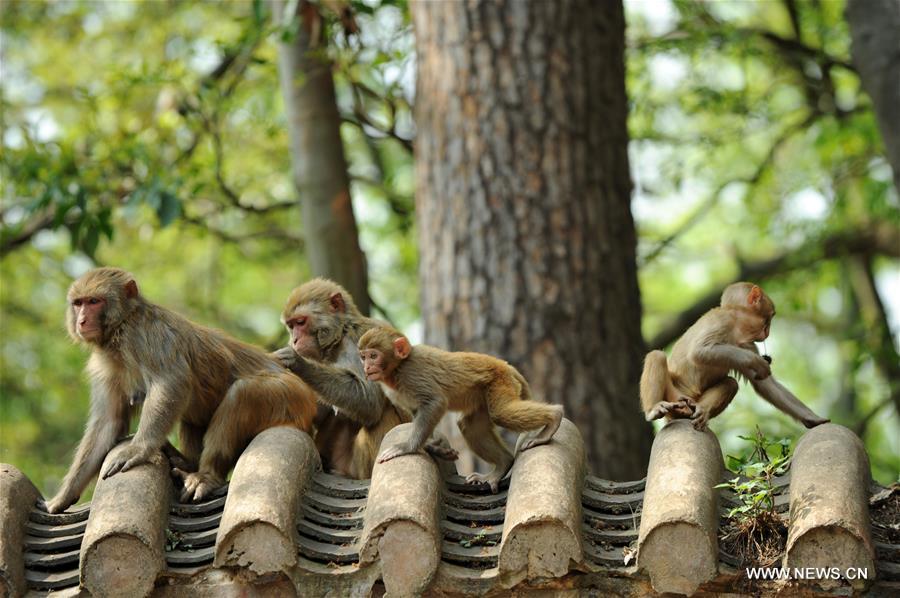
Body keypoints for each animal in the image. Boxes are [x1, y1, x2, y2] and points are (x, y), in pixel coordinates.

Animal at [47, 270, 320, 512]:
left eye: (94, 302)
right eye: (78, 303)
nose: (82, 321)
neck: (119, 330)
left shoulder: (146, 334)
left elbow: (171, 382)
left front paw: (139, 449)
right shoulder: (104, 366)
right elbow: (109, 423)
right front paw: (63, 497)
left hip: (293, 399)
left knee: (243, 394)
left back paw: (206, 475)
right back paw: (187, 462)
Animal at [356, 326, 564, 494]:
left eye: (373, 356)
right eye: (363, 357)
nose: (367, 367)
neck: (397, 369)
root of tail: (508, 367)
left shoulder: (411, 374)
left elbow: (435, 403)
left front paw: (407, 447)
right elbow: (419, 412)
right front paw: (435, 446)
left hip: (500, 381)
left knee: (501, 414)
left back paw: (554, 417)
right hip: (483, 395)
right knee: (470, 426)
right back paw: (502, 466)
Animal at [640, 284, 828, 434]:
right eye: (770, 317)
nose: (768, 332)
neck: (737, 327)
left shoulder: (749, 344)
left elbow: (764, 384)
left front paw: (811, 418)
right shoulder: (722, 321)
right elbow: (699, 351)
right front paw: (756, 362)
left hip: (685, 401)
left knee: (730, 383)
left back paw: (699, 410)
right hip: (674, 397)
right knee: (656, 356)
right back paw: (653, 409)